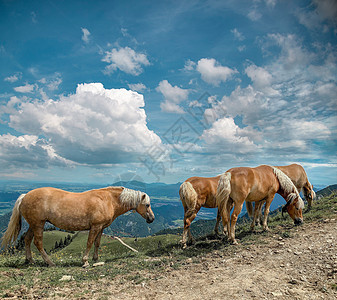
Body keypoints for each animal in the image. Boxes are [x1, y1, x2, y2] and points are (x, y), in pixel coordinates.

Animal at [0, 185, 154, 268]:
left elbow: (97, 243)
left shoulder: (101, 227)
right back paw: (50, 262)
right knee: (38, 242)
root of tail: (25, 196)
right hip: (38, 224)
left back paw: (30, 260)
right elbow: (89, 242)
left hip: (33, 224)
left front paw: (96, 259)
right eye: (147, 205)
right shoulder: (95, 227)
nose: (152, 219)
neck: (108, 200)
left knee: (27, 239)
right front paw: (85, 262)